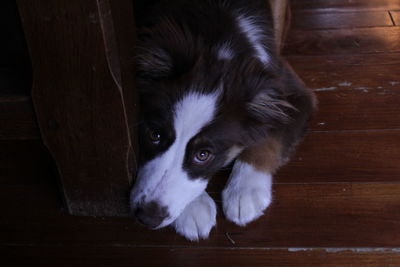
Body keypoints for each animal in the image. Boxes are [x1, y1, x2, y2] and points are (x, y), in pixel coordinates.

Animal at [128, 0, 316, 242]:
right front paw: (193, 209)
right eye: (155, 135)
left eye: (203, 155)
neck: (217, 46)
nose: (147, 217)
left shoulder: (294, 95)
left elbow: (268, 139)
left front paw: (245, 191)